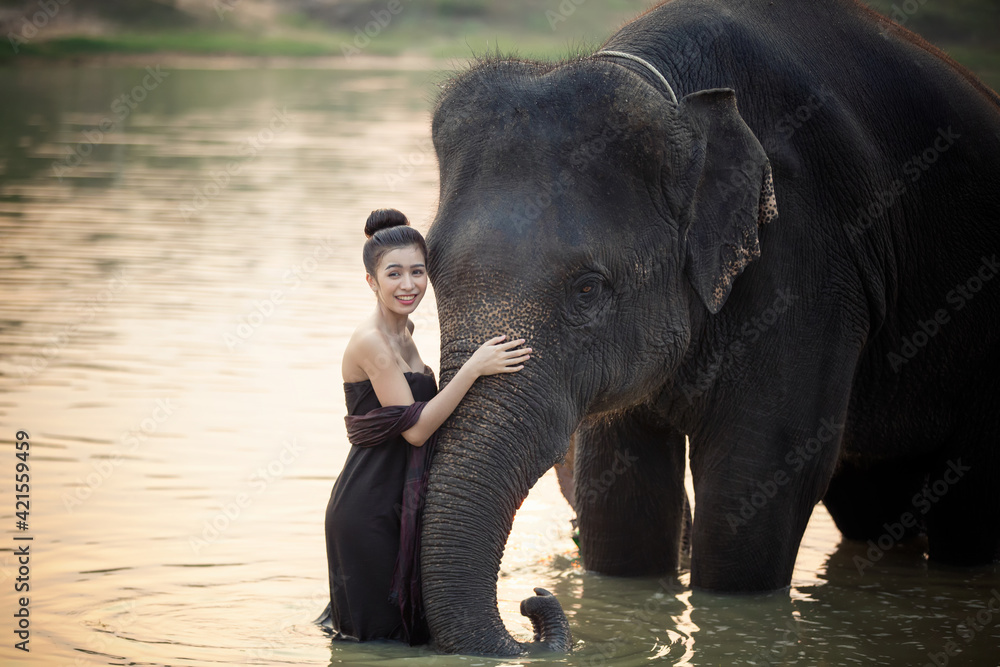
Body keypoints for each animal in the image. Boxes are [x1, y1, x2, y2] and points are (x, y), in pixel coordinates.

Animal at [418, 0, 1000, 656]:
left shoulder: (811, 260)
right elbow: (620, 496)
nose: (533, 604)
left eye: (588, 289)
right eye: (432, 272)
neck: (676, 99)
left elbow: (759, 475)